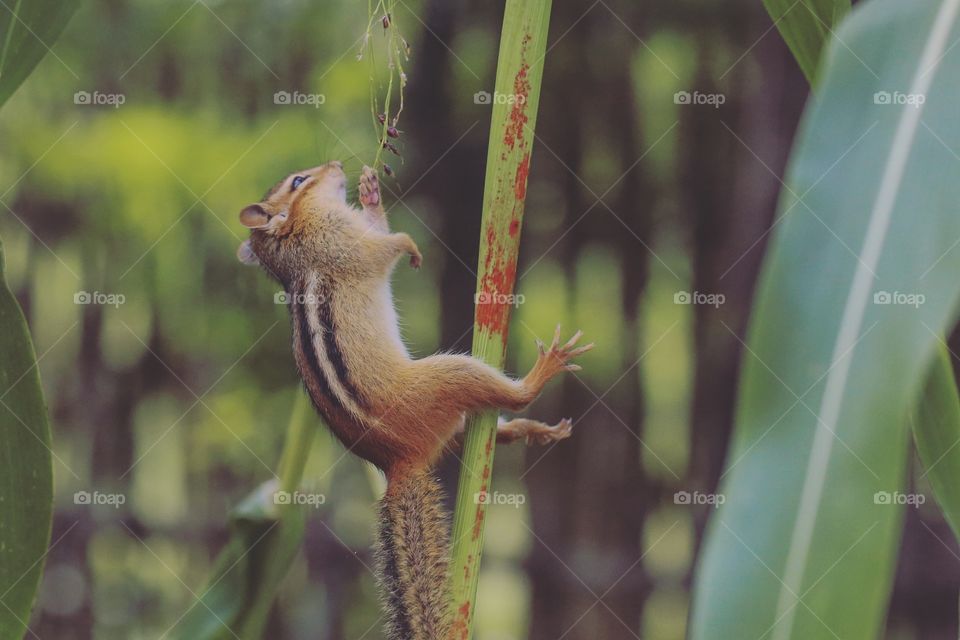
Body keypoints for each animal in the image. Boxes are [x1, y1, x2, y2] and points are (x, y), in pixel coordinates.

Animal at [237, 161, 592, 640]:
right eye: (298, 181)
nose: (336, 165)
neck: (298, 233)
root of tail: (397, 463)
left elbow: (378, 227)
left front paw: (371, 194)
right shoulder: (349, 247)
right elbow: (388, 246)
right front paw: (410, 246)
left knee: (478, 430)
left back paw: (535, 430)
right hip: (448, 375)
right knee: (510, 397)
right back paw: (545, 372)